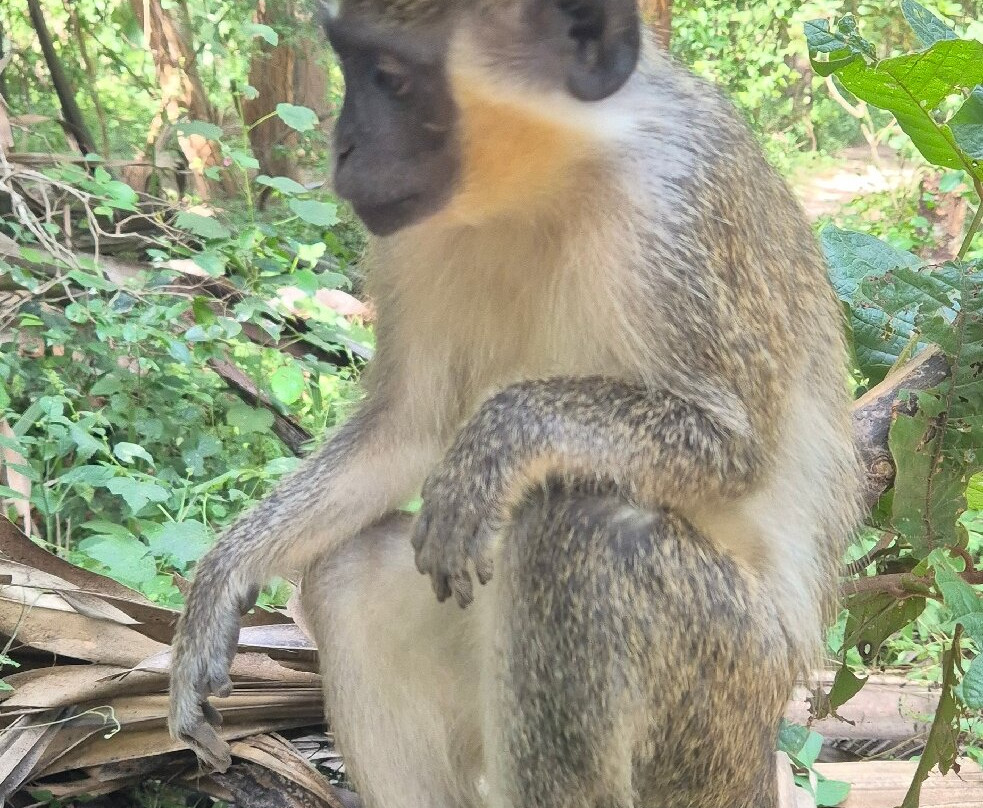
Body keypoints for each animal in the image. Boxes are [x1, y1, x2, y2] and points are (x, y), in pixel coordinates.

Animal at [169, 1, 862, 806]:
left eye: (391, 79)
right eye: (350, 66)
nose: (341, 148)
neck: (548, 183)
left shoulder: (681, 208)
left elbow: (734, 451)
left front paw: (499, 439)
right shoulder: (406, 238)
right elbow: (407, 430)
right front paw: (222, 582)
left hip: (728, 678)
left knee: (580, 533)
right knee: (350, 577)